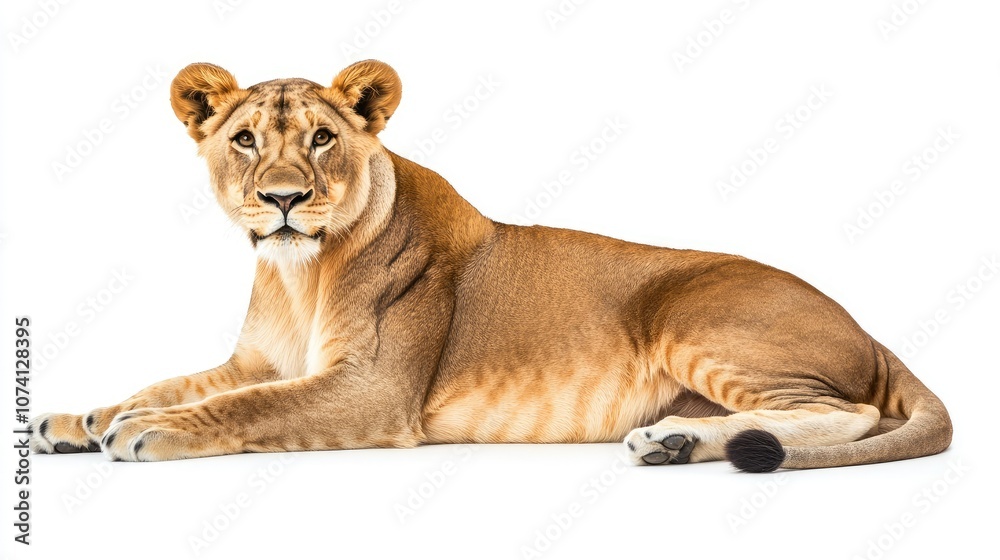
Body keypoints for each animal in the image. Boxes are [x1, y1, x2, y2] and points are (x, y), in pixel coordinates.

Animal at [29, 60, 952, 471]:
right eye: (246, 139)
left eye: (323, 138)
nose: (285, 199)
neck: (297, 274)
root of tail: (871, 330)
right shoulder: (256, 359)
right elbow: (169, 381)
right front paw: (78, 417)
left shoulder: (375, 390)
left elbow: (244, 407)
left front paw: (147, 431)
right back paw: (675, 440)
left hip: (697, 317)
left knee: (848, 414)